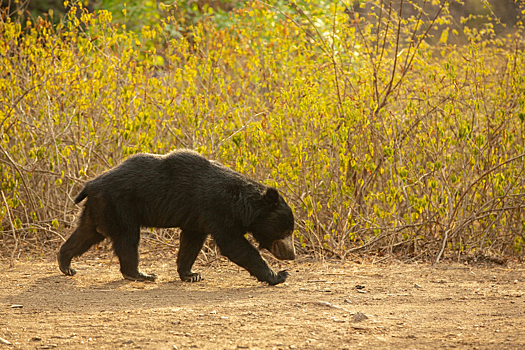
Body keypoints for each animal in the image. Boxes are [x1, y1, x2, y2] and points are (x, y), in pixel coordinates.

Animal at [58, 150, 294, 284]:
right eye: (285, 231)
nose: (291, 255)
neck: (241, 204)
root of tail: (90, 184)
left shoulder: (198, 218)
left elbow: (191, 242)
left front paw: (191, 274)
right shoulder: (217, 210)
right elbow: (234, 245)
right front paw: (279, 275)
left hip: (99, 208)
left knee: (86, 233)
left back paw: (66, 264)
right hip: (120, 206)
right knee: (127, 238)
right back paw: (141, 274)